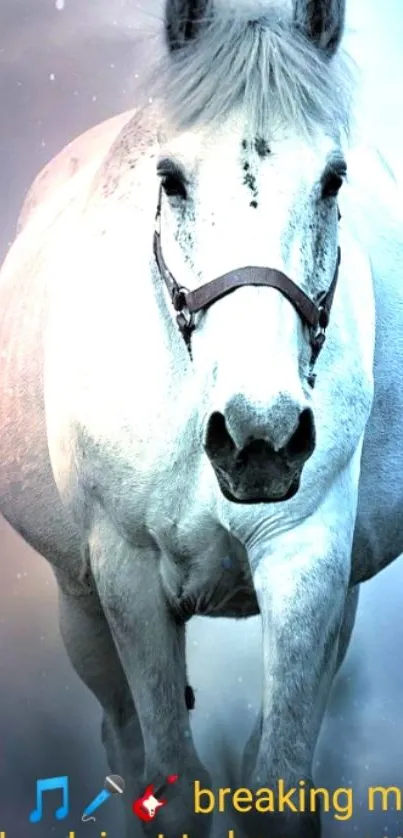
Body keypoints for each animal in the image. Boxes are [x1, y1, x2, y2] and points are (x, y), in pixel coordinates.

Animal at [0, 0, 403, 836]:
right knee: (121, 741)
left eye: (332, 178)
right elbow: (171, 787)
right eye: (171, 179)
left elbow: (277, 785)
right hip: (79, 604)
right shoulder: (125, 576)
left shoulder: (308, 561)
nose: (260, 439)